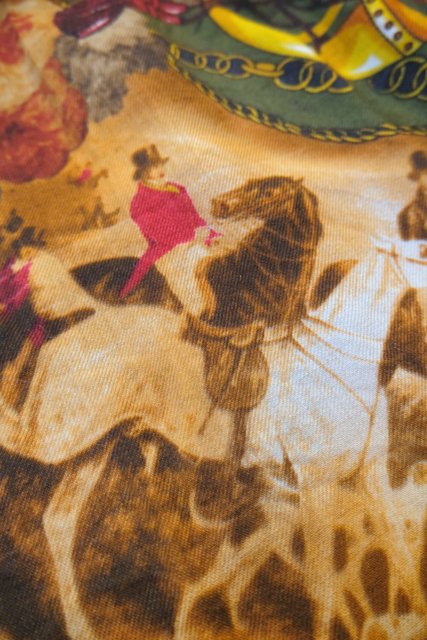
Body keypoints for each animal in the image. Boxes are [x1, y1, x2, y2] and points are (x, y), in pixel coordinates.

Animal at [0, 176, 322, 639]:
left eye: (267, 190)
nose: (221, 206)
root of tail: (92, 309)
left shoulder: (278, 490)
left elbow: (254, 547)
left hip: (93, 444)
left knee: (59, 521)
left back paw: (82, 625)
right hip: (58, 434)